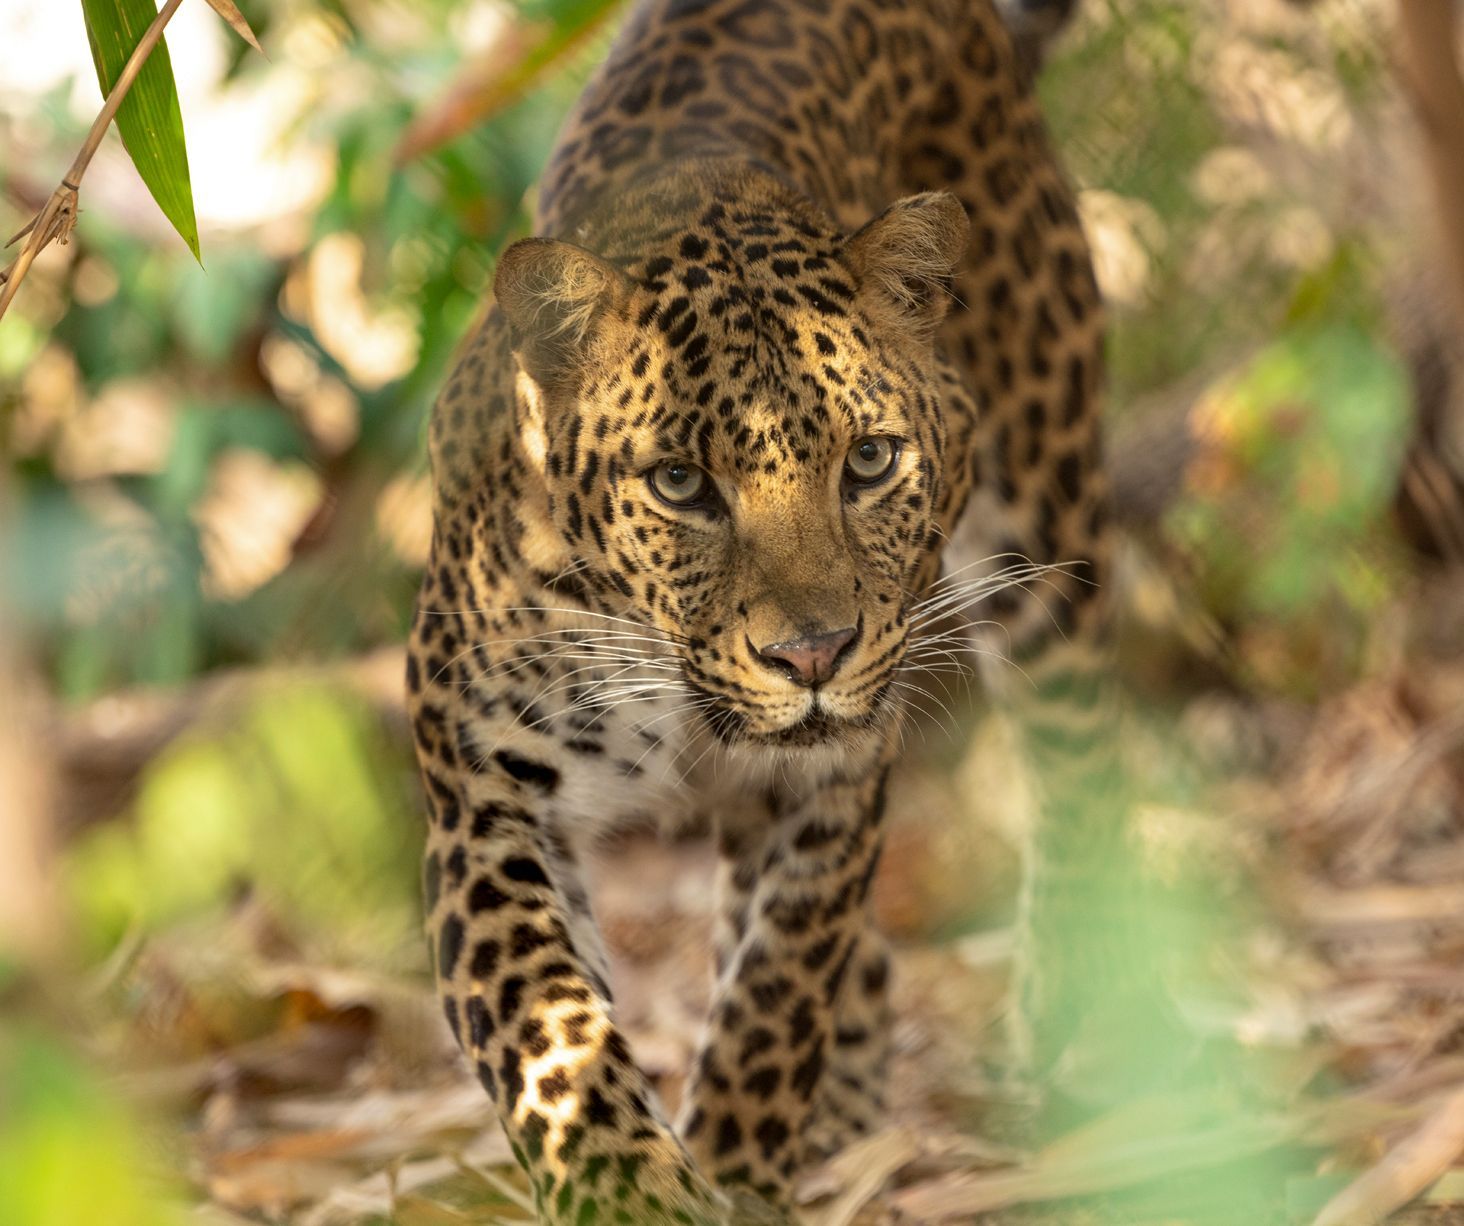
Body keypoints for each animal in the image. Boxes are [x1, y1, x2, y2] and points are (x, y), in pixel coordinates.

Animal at [406, 0, 1117, 1220]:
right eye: (681, 483)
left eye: (870, 461)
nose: (814, 654)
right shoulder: (483, 794)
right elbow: (549, 1032)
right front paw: (635, 1191)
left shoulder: (833, 783)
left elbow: (775, 997)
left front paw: (737, 1164)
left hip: (1044, 511)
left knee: (1074, 756)